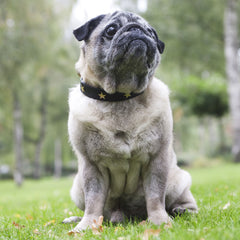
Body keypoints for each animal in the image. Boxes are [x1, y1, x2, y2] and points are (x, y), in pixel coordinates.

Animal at [63, 10, 197, 232]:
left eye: (151, 33)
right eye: (111, 30)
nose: (137, 29)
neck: (119, 97)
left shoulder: (157, 160)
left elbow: (155, 196)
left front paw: (159, 221)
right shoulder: (91, 166)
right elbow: (93, 200)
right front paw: (87, 225)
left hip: (178, 181)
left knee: (180, 200)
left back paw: (182, 211)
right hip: (76, 188)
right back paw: (76, 218)